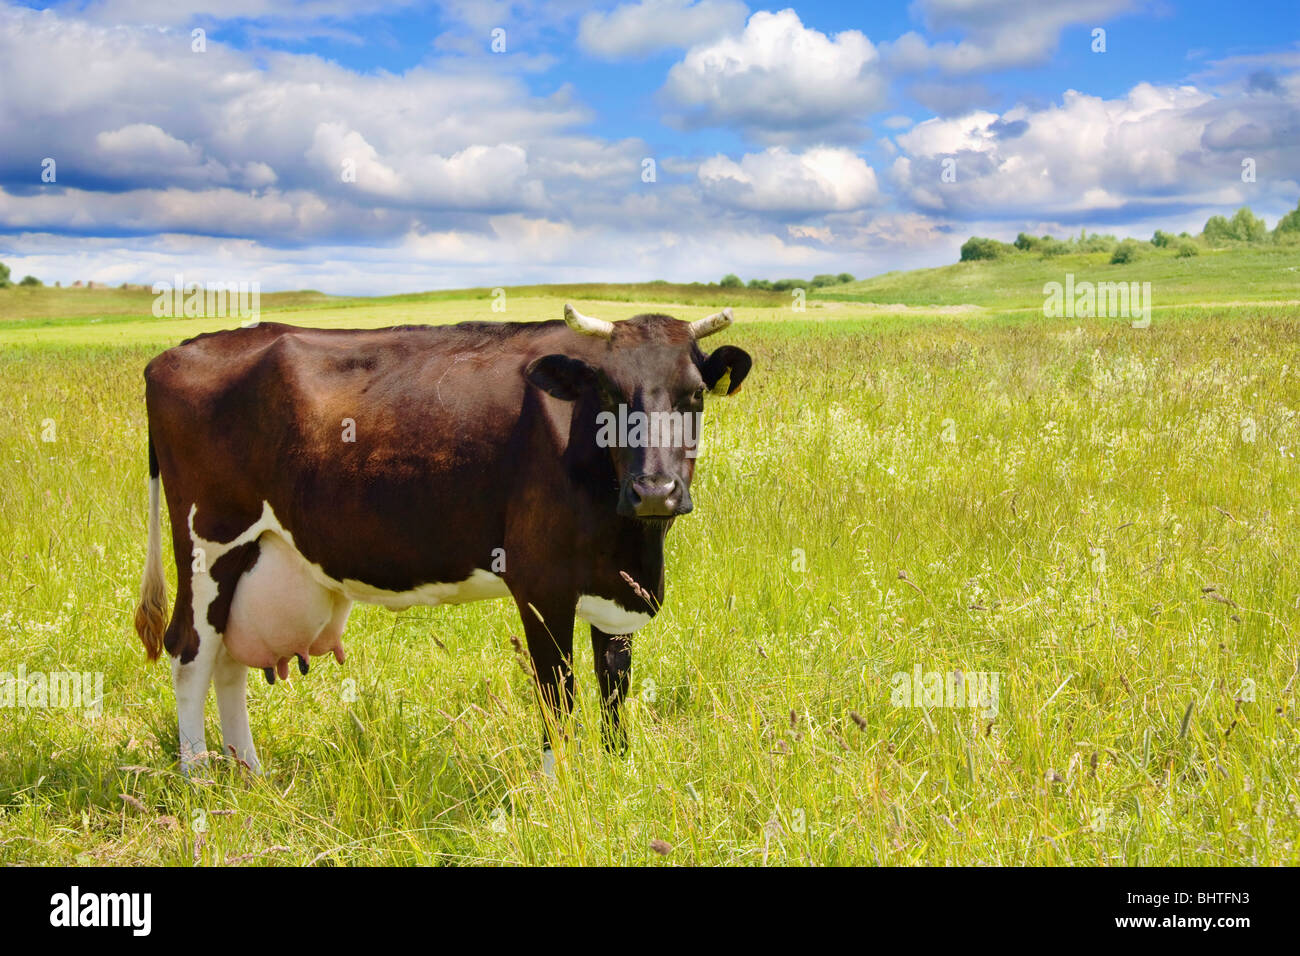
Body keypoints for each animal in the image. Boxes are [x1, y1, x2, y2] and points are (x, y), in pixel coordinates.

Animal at [133, 305, 752, 775]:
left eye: (695, 396)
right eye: (608, 393)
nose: (654, 491)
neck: (630, 539)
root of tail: (175, 351)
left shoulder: (619, 587)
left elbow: (614, 689)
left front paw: (619, 778)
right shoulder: (540, 583)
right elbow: (557, 693)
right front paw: (559, 791)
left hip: (250, 556)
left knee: (227, 661)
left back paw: (251, 775)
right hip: (208, 542)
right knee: (190, 651)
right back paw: (199, 782)